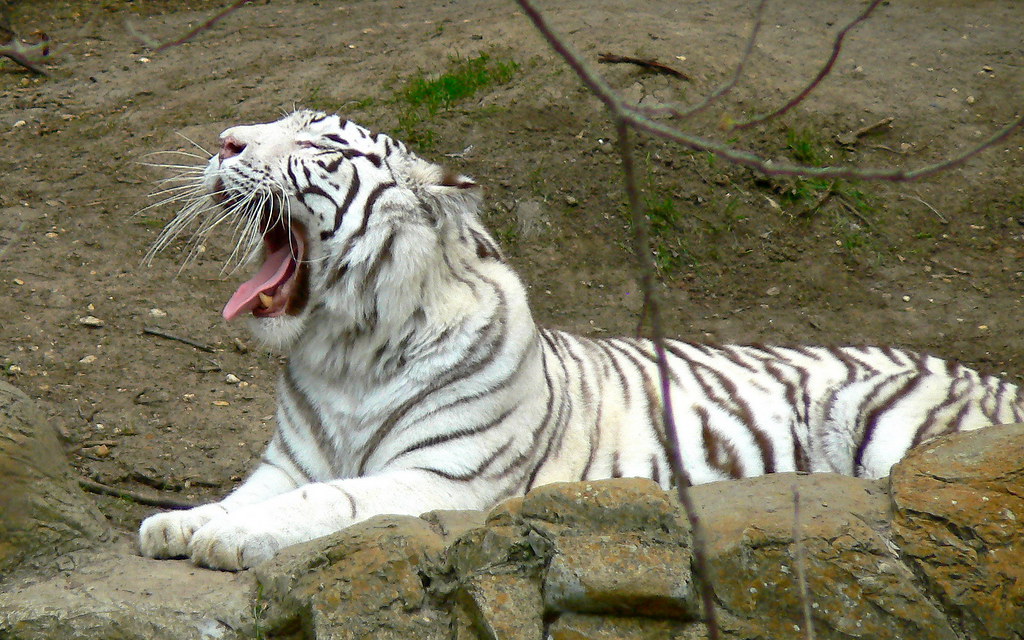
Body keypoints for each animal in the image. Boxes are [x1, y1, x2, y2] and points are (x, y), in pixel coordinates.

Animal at [139, 110, 1024, 571]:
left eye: (319, 145)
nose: (224, 142)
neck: (347, 350)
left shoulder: (442, 478)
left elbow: (330, 499)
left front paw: (229, 538)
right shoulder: (287, 460)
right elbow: (252, 490)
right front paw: (183, 522)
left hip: (894, 427)